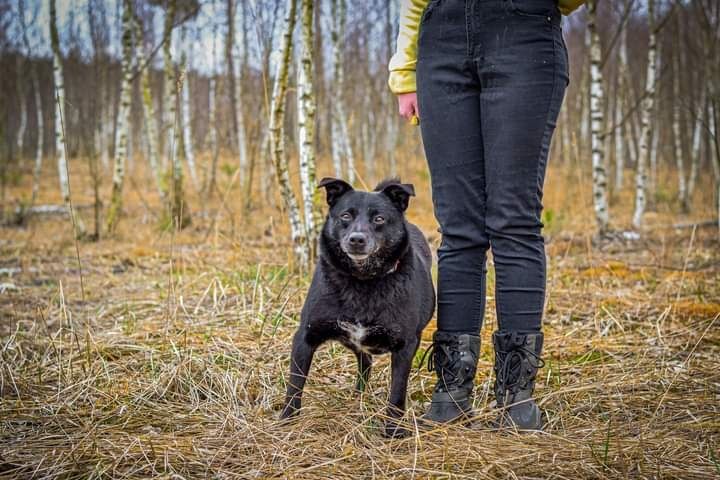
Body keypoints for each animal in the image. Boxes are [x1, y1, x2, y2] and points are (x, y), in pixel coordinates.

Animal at [280, 176, 436, 436]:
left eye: (379, 219)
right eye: (345, 215)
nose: (356, 239)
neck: (362, 282)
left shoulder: (405, 346)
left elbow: (397, 393)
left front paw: (394, 431)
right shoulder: (305, 337)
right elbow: (295, 385)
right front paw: (286, 422)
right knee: (365, 364)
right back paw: (357, 399)